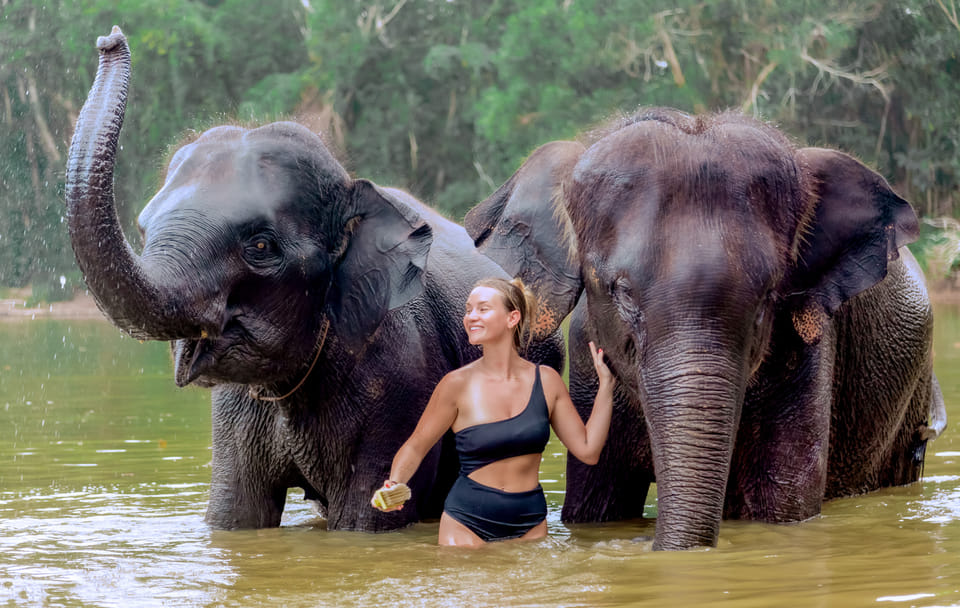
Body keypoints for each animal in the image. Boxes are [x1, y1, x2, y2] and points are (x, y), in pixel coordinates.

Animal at [64, 27, 563, 532]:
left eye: (261, 246)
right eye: (144, 229)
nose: (109, 38)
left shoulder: (401, 387)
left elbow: (367, 518)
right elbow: (235, 513)